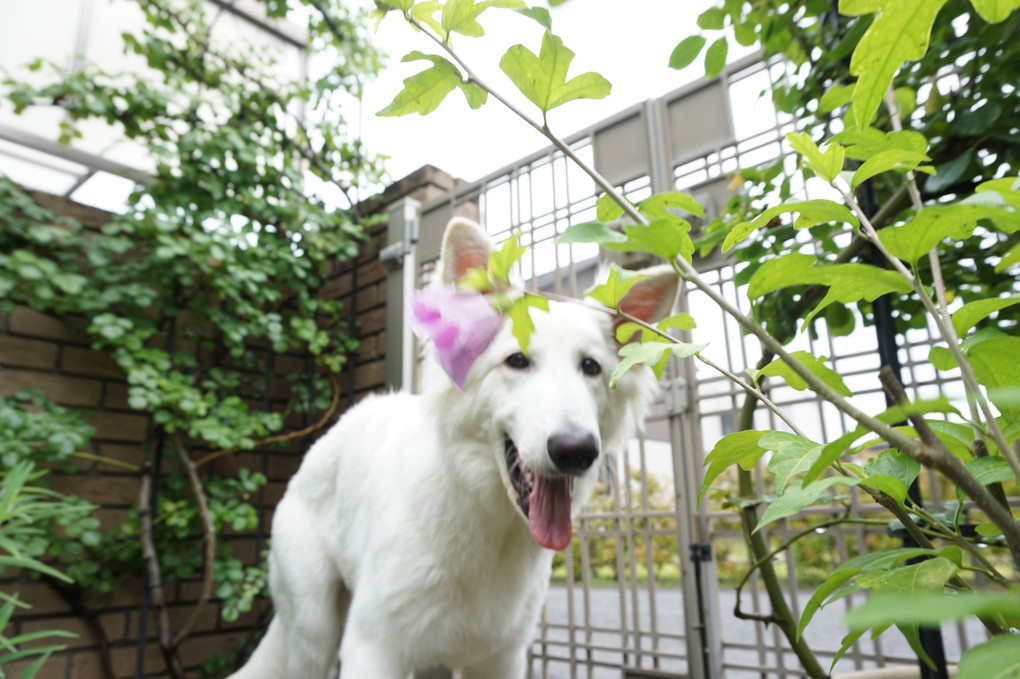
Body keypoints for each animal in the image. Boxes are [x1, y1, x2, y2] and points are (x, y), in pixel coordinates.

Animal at [230, 219, 677, 672]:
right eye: (517, 361)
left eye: (590, 367)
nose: (576, 451)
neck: (486, 517)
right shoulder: (373, 649)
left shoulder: (501, 658)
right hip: (314, 633)